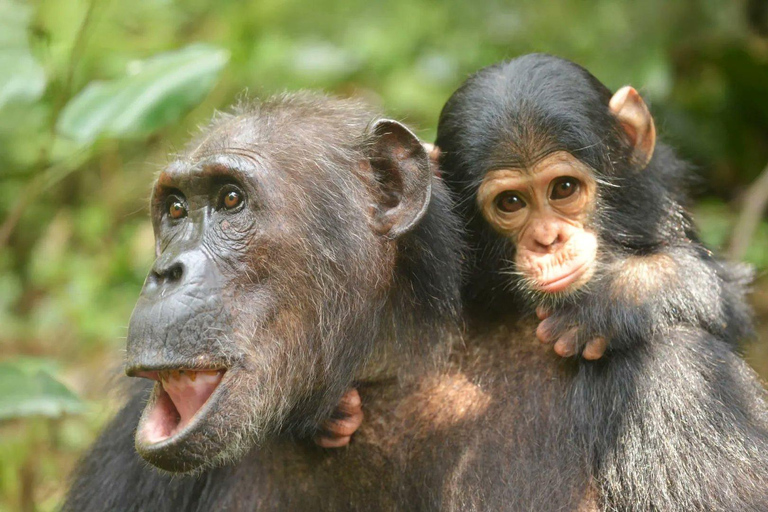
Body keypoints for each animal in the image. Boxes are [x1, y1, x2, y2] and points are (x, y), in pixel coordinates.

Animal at [435, 53, 768, 510]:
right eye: (511, 202)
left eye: (563, 188)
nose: (547, 239)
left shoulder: (659, 186)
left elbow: (726, 292)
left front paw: (612, 299)